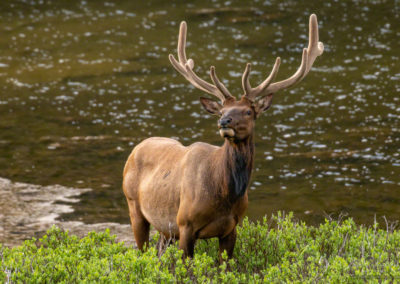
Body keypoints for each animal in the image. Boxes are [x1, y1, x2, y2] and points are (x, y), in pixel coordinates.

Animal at [123, 15, 324, 260]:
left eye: (248, 111)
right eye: (221, 111)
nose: (224, 122)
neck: (224, 195)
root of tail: (135, 150)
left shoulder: (231, 228)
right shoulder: (184, 224)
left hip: (165, 229)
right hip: (135, 207)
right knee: (142, 251)